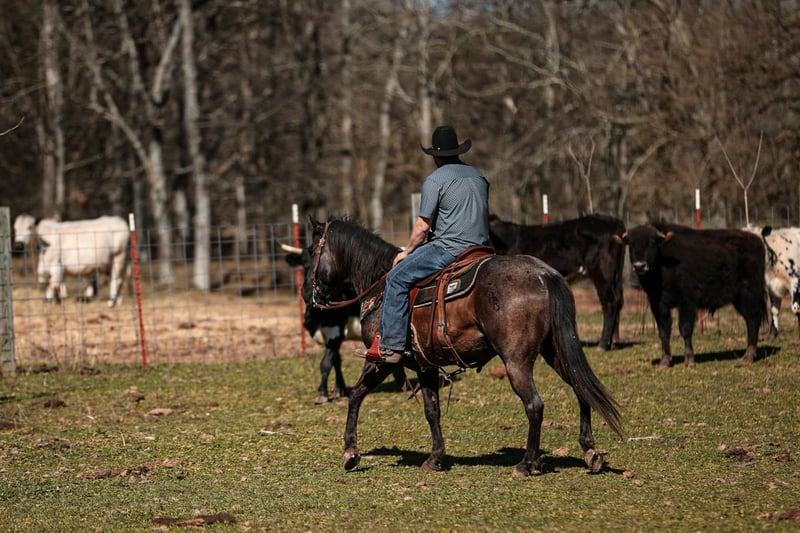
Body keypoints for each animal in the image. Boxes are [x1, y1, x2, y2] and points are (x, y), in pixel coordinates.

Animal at [282, 243, 407, 404]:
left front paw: (322, 394)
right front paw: (339, 389)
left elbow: (326, 362)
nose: (307, 292)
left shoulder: (335, 331)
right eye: (303, 265)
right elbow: (336, 360)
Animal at [489, 213, 626, 350]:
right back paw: (613, 342)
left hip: (602, 272)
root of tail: (612, 221)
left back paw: (602, 344)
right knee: (617, 300)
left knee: (610, 303)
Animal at [624, 223, 768, 368]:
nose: (639, 266)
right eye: (631, 244)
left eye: (652, 243)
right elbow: (664, 331)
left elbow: (685, 328)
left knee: (753, 319)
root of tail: (756, 240)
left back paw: (747, 356)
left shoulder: (686, 301)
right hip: (739, 299)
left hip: (749, 294)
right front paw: (664, 361)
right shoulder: (658, 304)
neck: (664, 263)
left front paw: (689, 360)